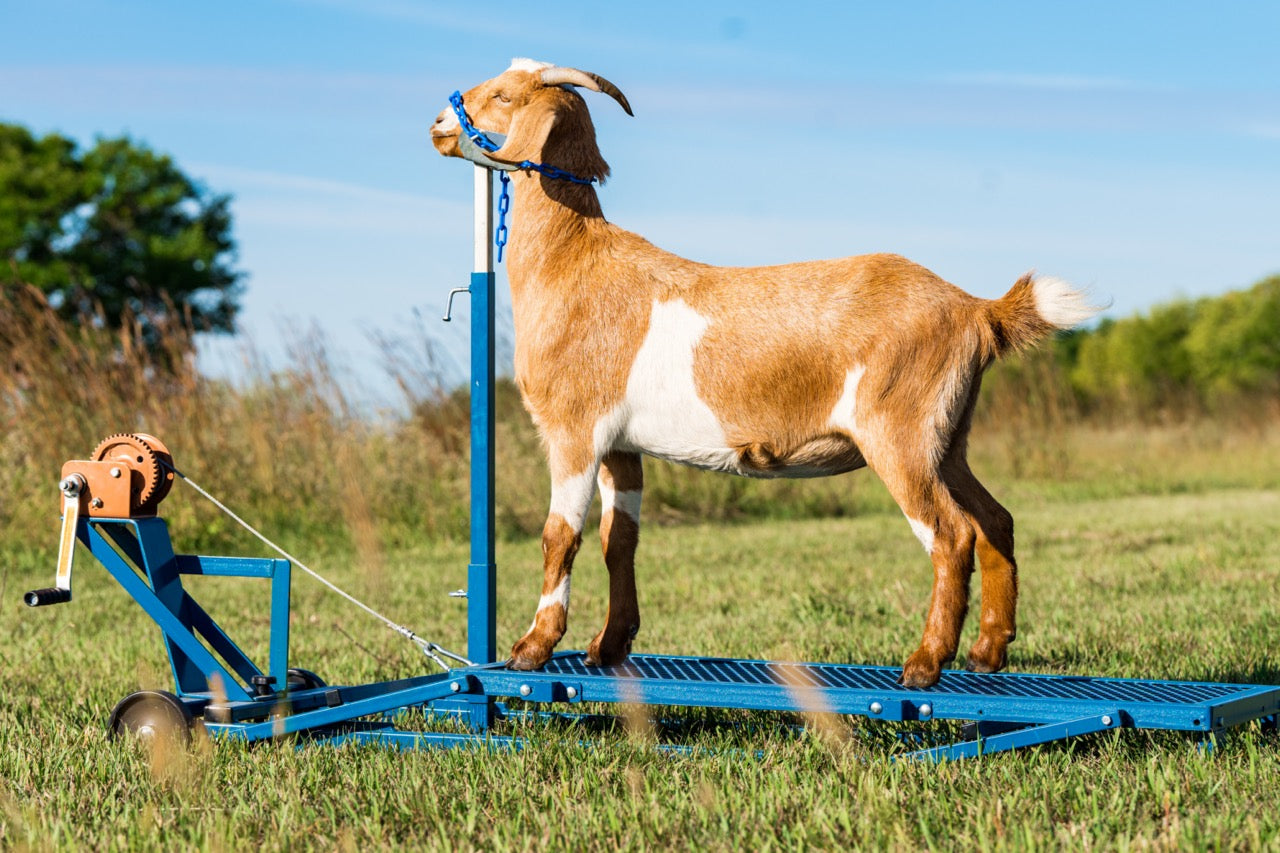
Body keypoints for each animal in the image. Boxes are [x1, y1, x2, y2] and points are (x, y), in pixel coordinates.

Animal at [430, 58, 1100, 688]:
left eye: (503, 96)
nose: (439, 123)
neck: (573, 263)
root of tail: (974, 309)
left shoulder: (574, 428)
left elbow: (559, 536)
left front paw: (532, 648)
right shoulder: (623, 445)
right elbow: (618, 541)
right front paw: (608, 647)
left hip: (900, 431)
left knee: (951, 533)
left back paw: (925, 663)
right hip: (947, 436)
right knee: (995, 520)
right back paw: (988, 651)